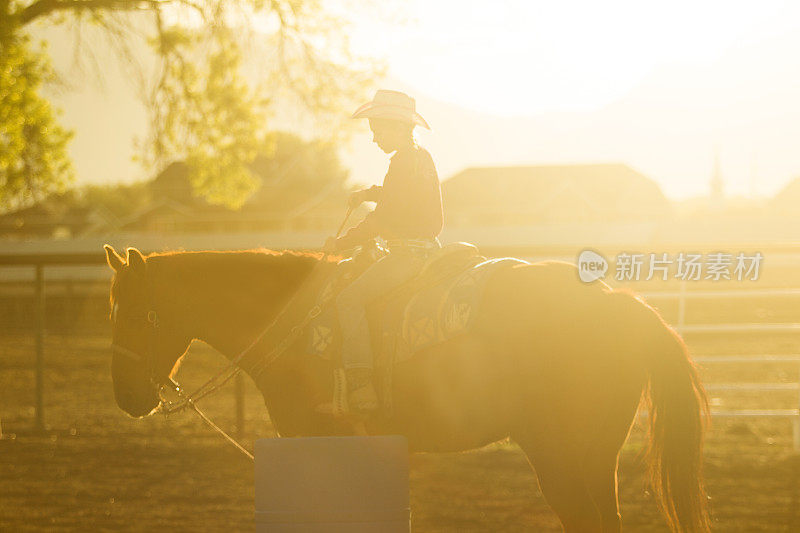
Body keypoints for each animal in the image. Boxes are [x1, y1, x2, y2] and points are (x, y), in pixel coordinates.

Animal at [103, 245, 708, 532]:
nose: (127, 399)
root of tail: (619, 303)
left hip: (558, 454)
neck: (295, 318)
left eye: (131, 314)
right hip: (596, 454)